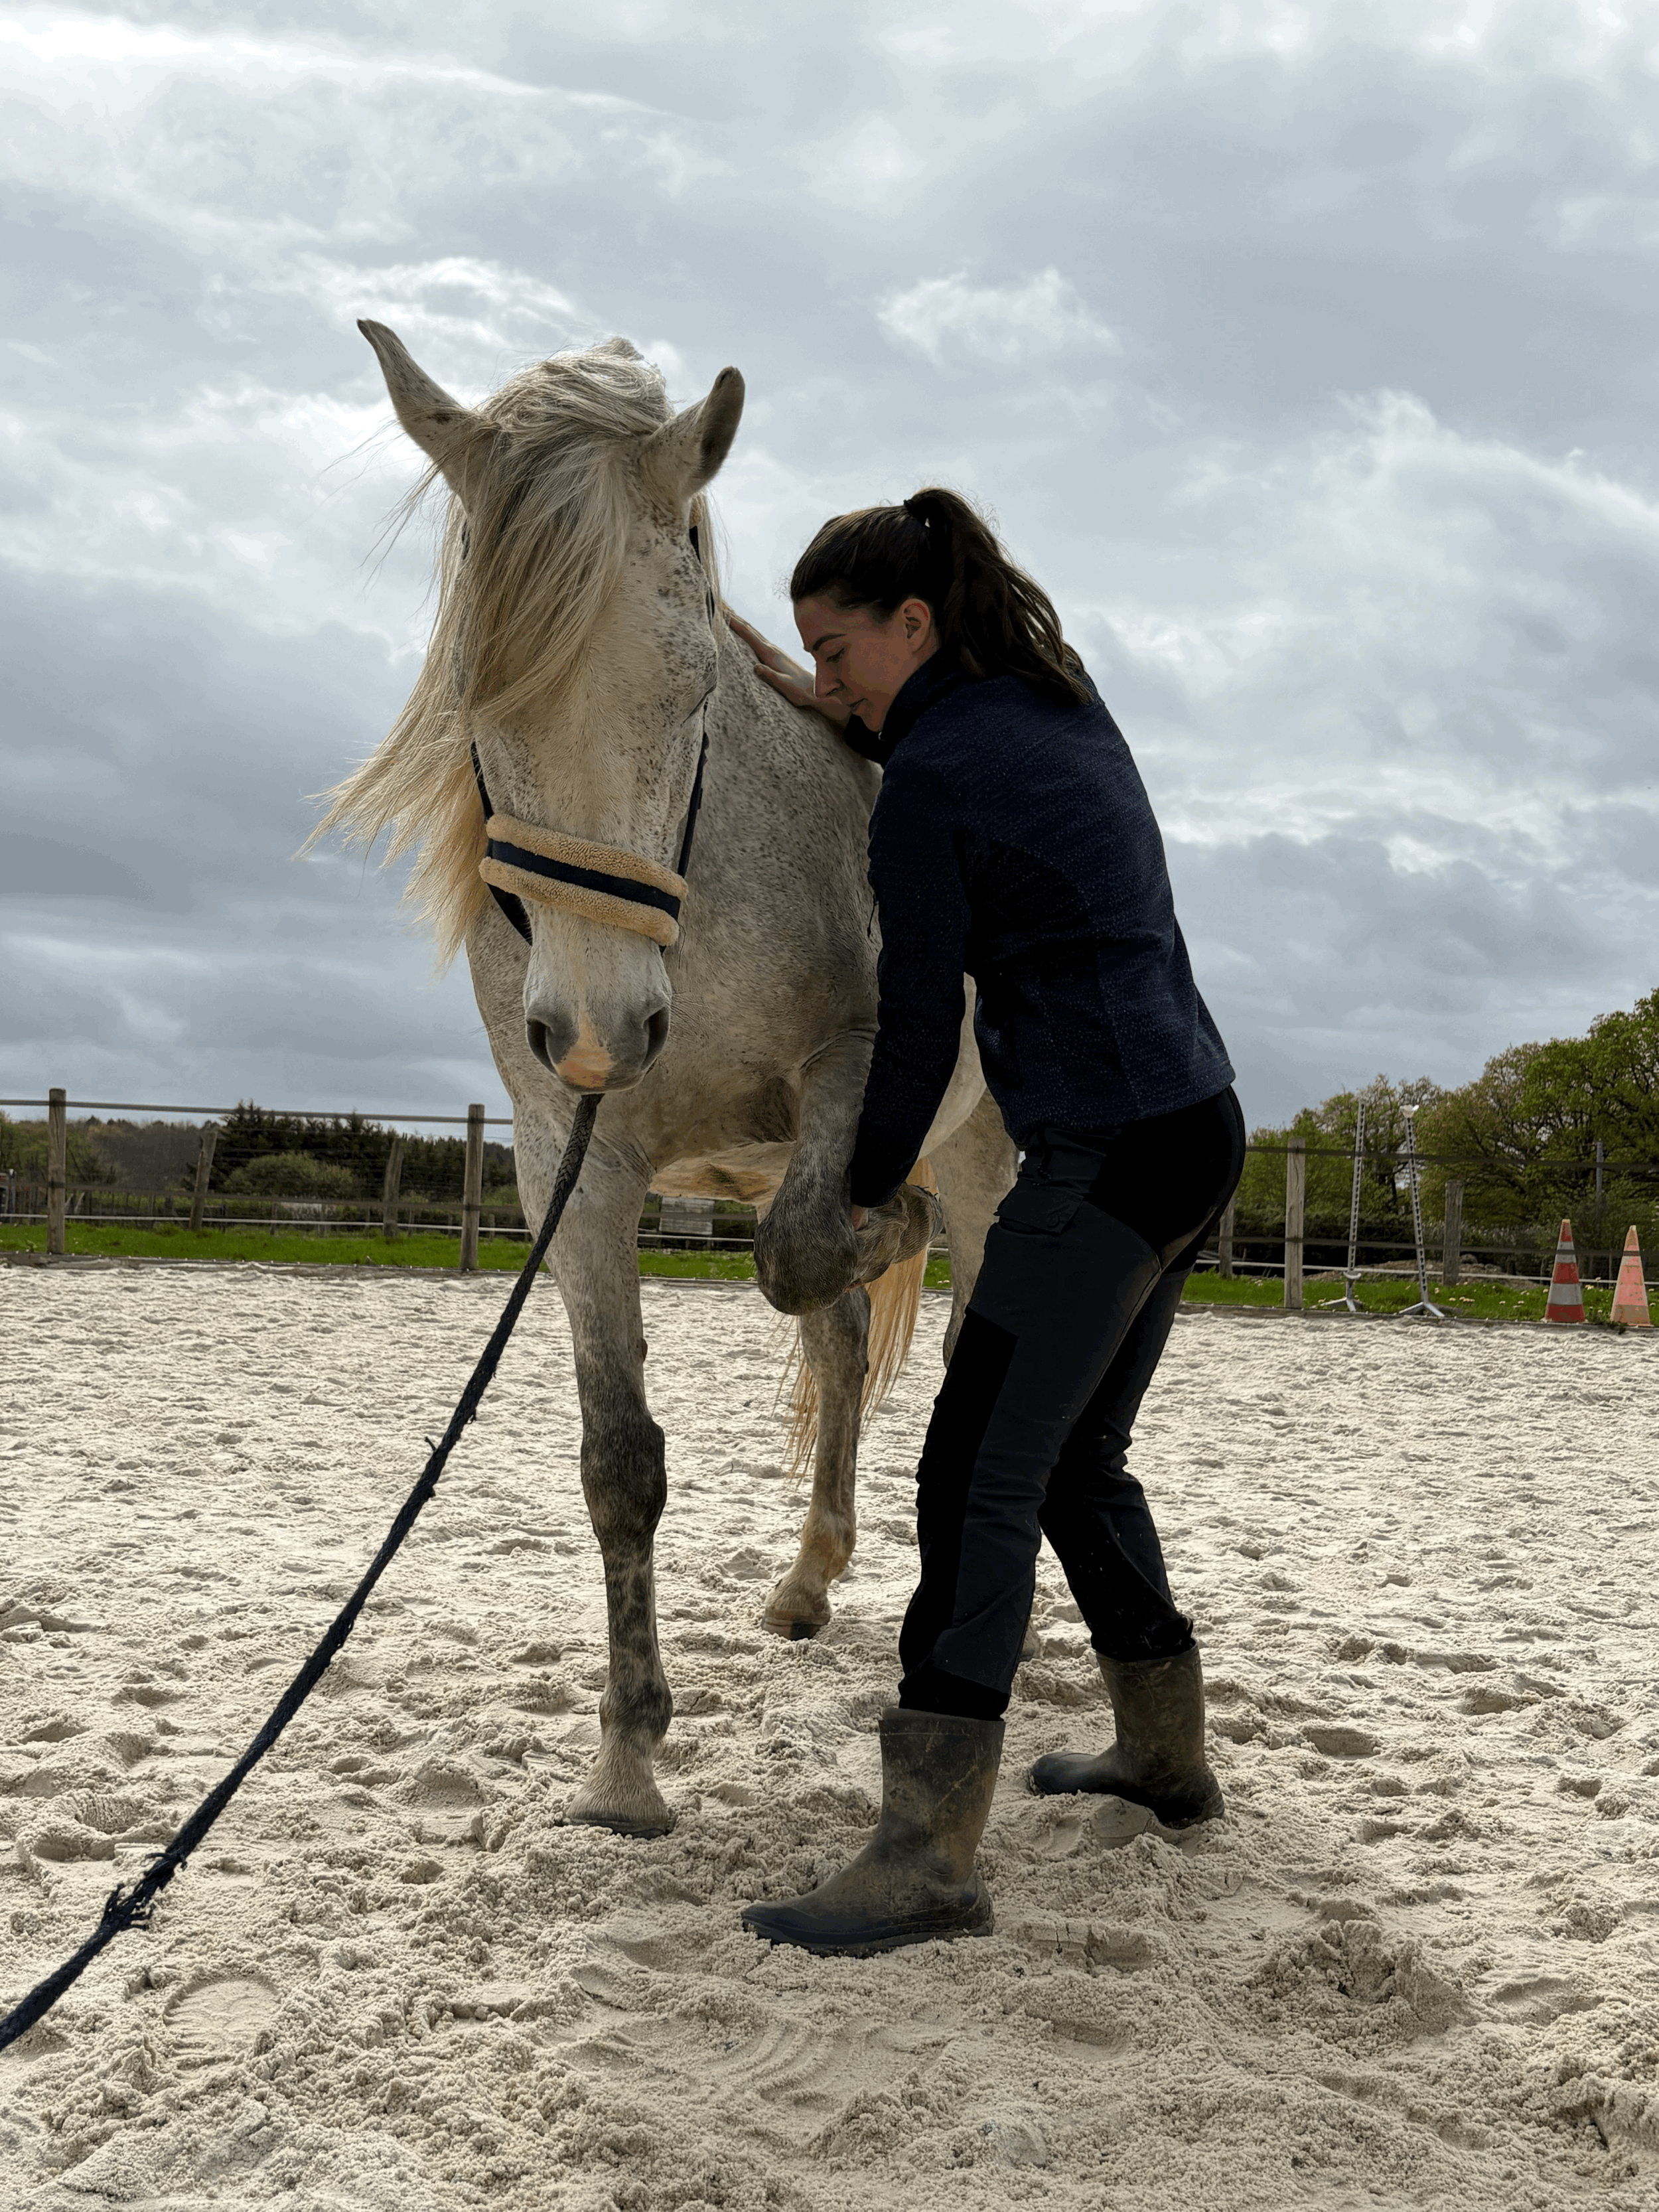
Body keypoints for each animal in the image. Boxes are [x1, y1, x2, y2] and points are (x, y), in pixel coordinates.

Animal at [321, 324, 1017, 1838]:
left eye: (694, 685)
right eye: (474, 697)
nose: (598, 1030)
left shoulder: (853, 1078)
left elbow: (811, 1245)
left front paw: (879, 1219)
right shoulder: (564, 1163)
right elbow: (620, 1460)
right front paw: (629, 1756)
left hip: (986, 1166)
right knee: (836, 1343)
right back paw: (807, 1582)